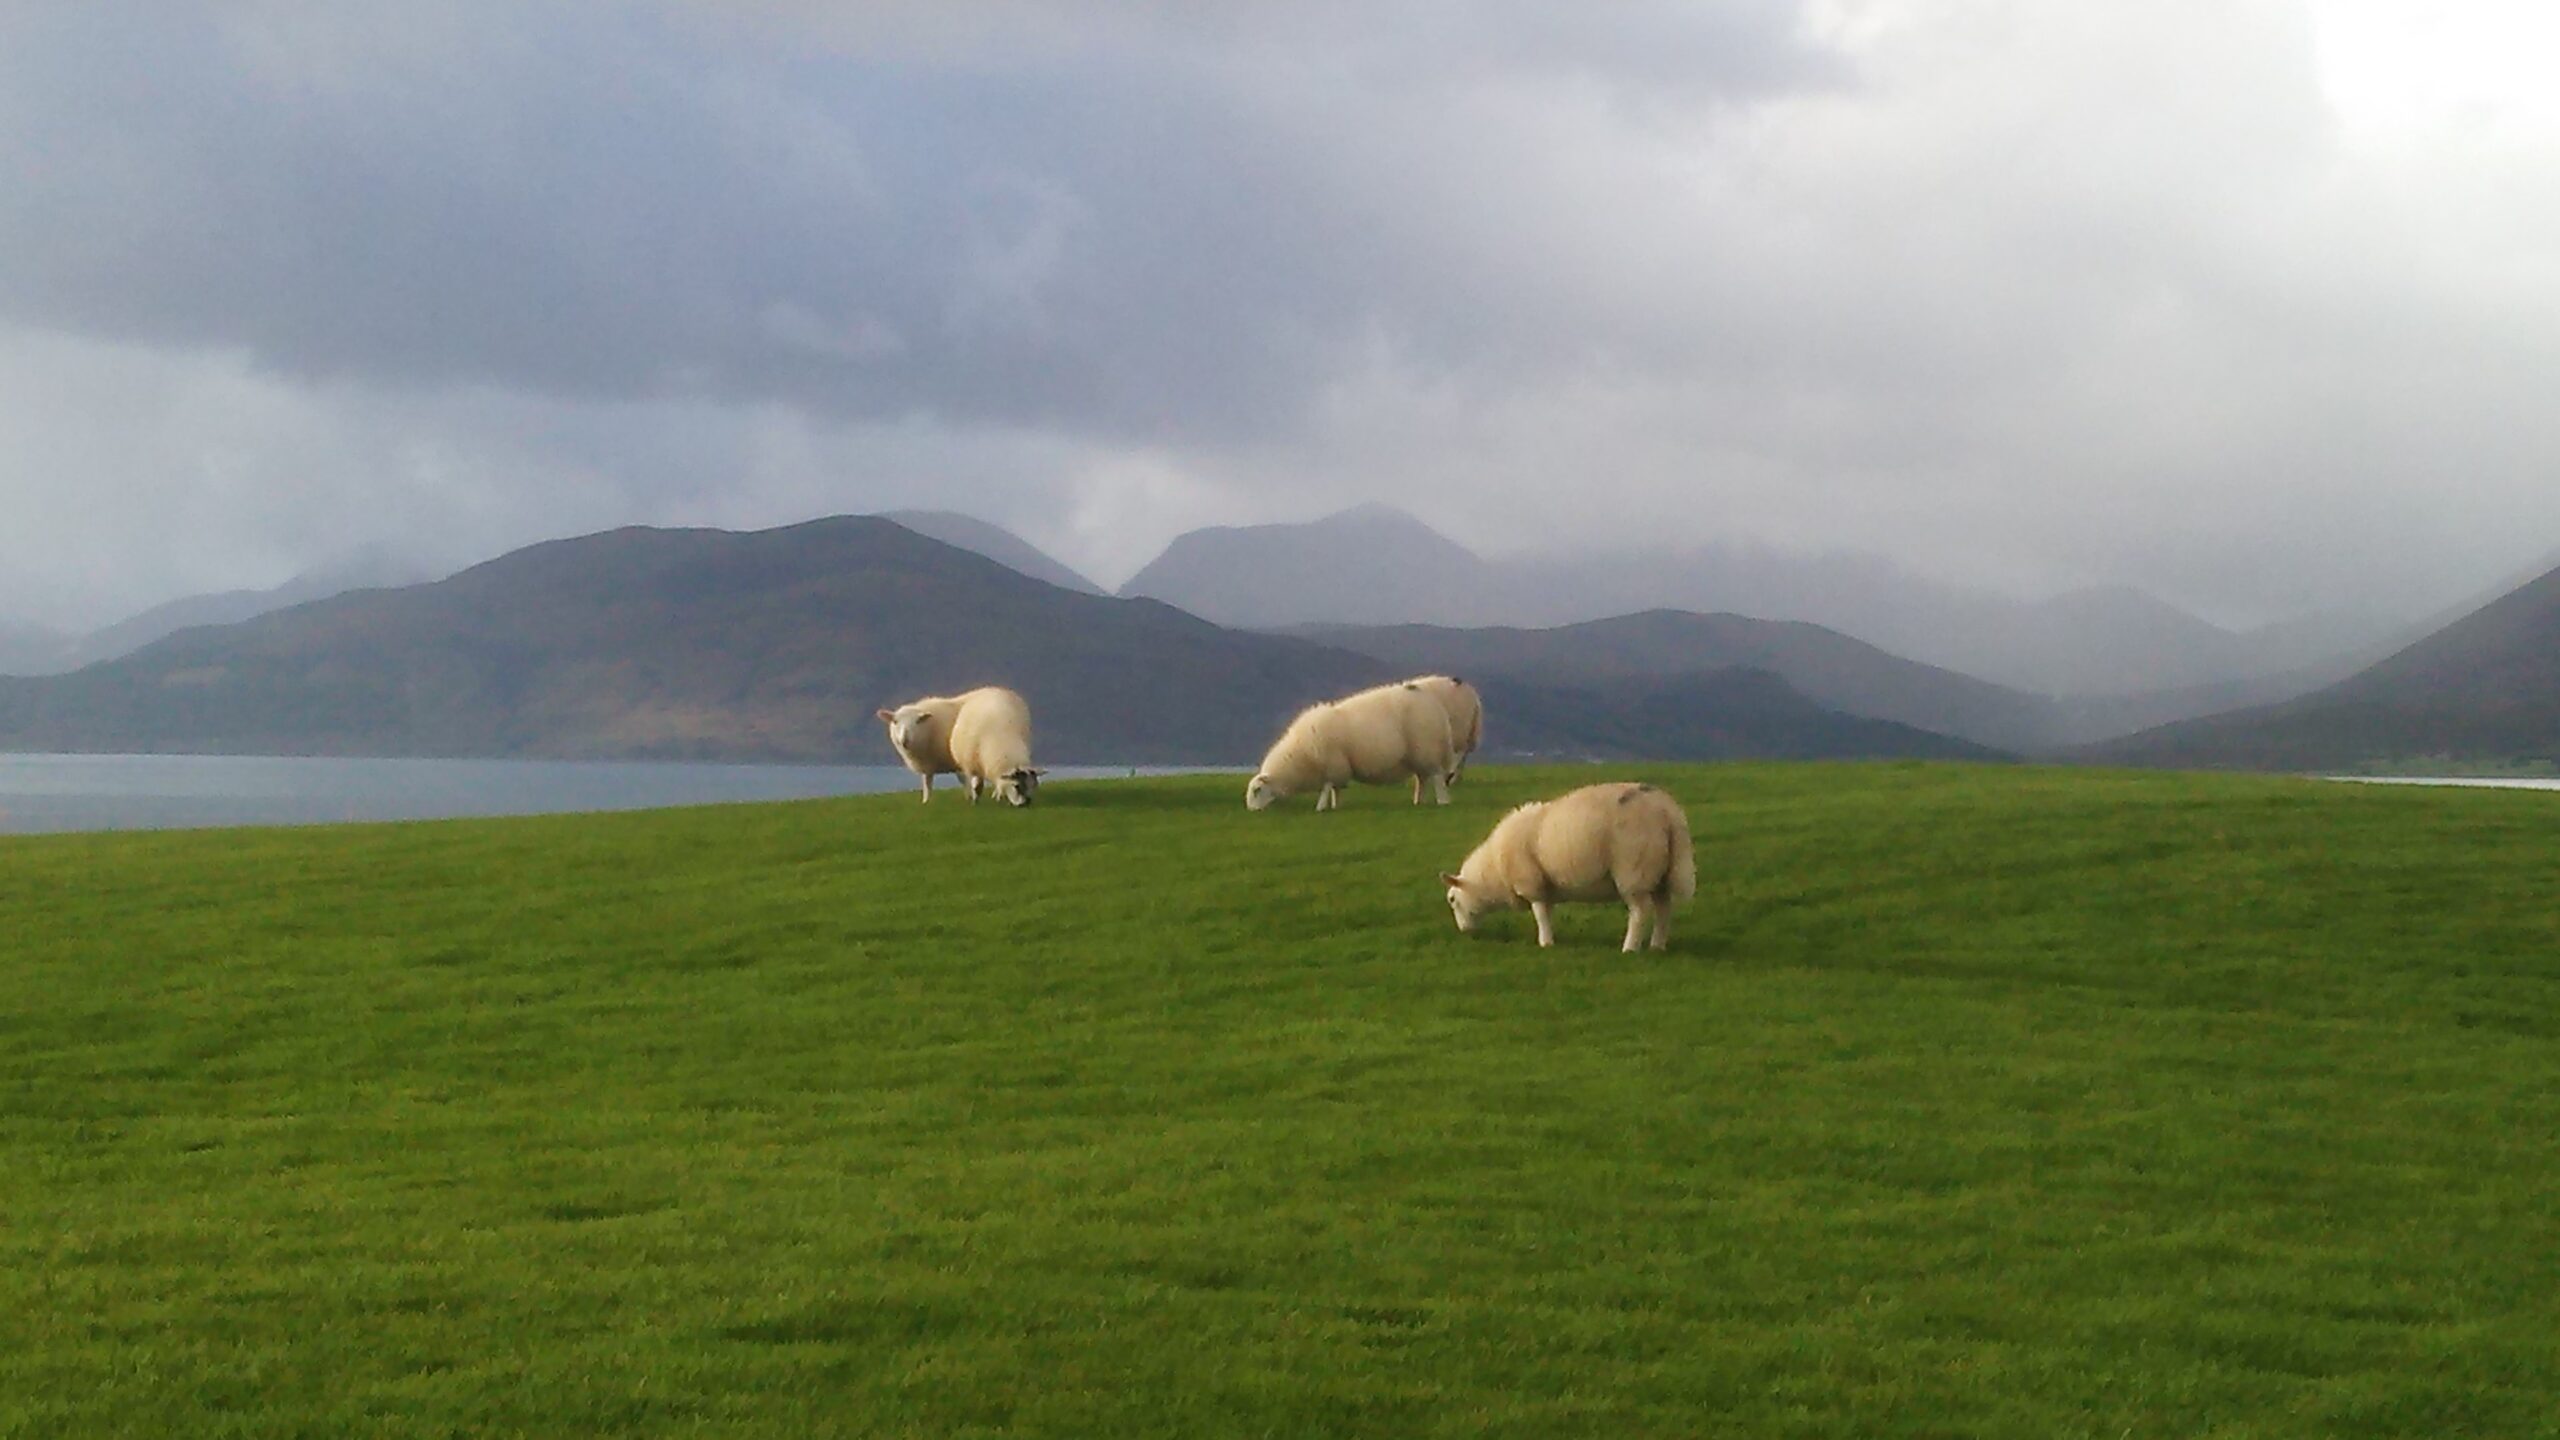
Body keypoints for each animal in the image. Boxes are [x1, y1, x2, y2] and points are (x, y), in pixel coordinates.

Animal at [875, 686, 1044, 809]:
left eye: (917, 721)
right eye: (895, 722)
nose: (904, 740)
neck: (931, 727)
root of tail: (998, 688)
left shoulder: (961, 763)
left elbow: (966, 781)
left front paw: (970, 798)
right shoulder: (929, 764)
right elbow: (927, 783)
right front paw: (926, 801)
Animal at [1244, 676, 1454, 809]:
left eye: (1257, 790)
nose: (1251, 810)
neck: (1300, 756)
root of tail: (1435, 704)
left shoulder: (1332, 764)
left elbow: (1327, 787)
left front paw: (1321, 807)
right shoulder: (1338, 768)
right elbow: (1335, 789)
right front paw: (1335, 805)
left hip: (1427, 749)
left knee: (1437, 777)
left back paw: (1443, 801)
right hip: (1417, 754)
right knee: (1422, 779)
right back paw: (1418, 801)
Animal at [1413, 671, 1495, 799]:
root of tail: (1474, 696)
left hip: (1460, 726)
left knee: (1461, 751)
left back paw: (1450, 776)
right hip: (1468, 728)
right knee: (1464, 753)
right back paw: (1456, 778)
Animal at [1443, 778, 1699, 948]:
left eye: (1452, 900)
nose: (1464, 932)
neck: (1495, 871)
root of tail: (1669, 812)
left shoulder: (1531, 881)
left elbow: (1539, 913)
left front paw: (1545, 942)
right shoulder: (1546, 884)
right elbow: (1547, 912)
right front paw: (1551, 937)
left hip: (1634, 868)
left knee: (1640, 911)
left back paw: (1630, 947)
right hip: (1661, 871)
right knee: (1664, 908)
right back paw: (1657, 945)